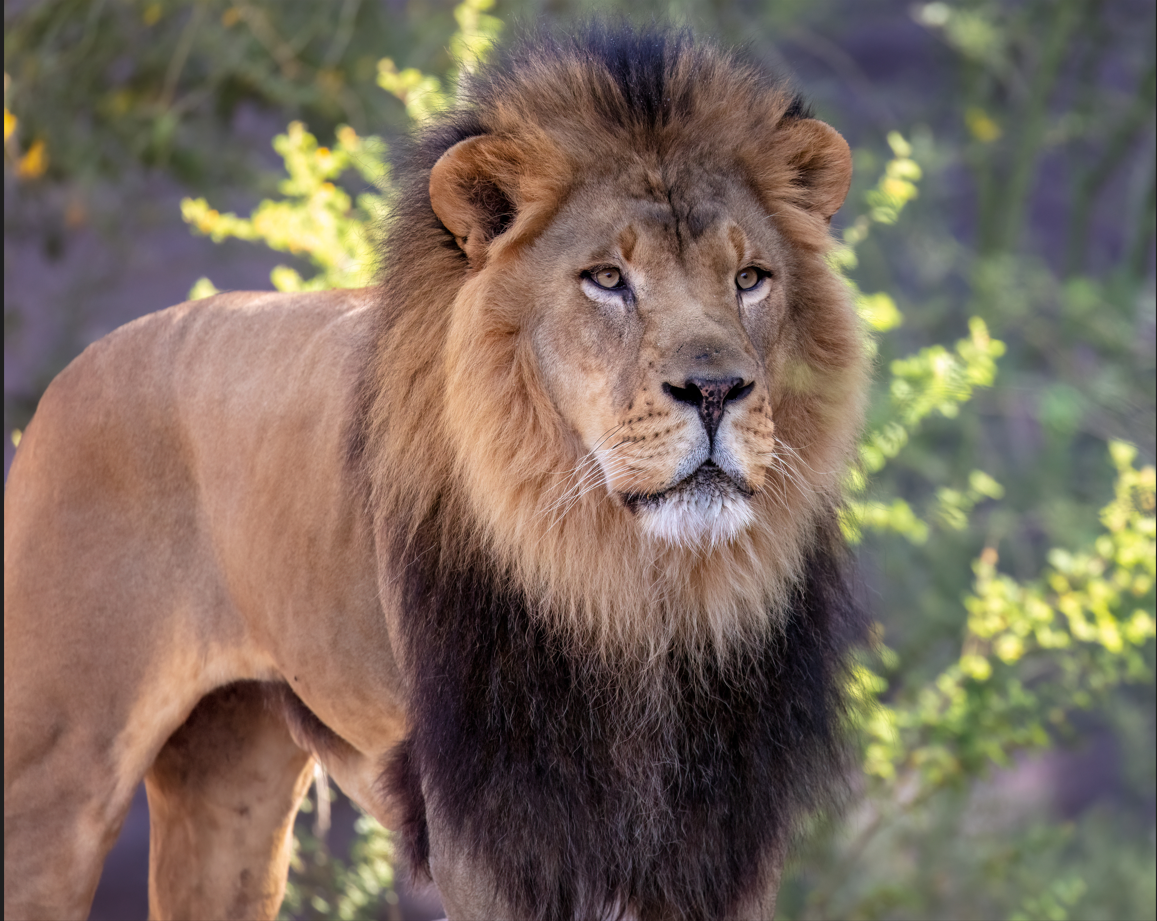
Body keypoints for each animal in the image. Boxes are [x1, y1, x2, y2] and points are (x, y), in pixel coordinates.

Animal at [4, 26, 868, 921]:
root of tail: (75, 369)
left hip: (230, 787)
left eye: (749, 278)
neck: (633, 593)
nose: (716, 390)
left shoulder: (723, 836)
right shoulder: (489, 830)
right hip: (52, 780)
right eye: (606, 279)